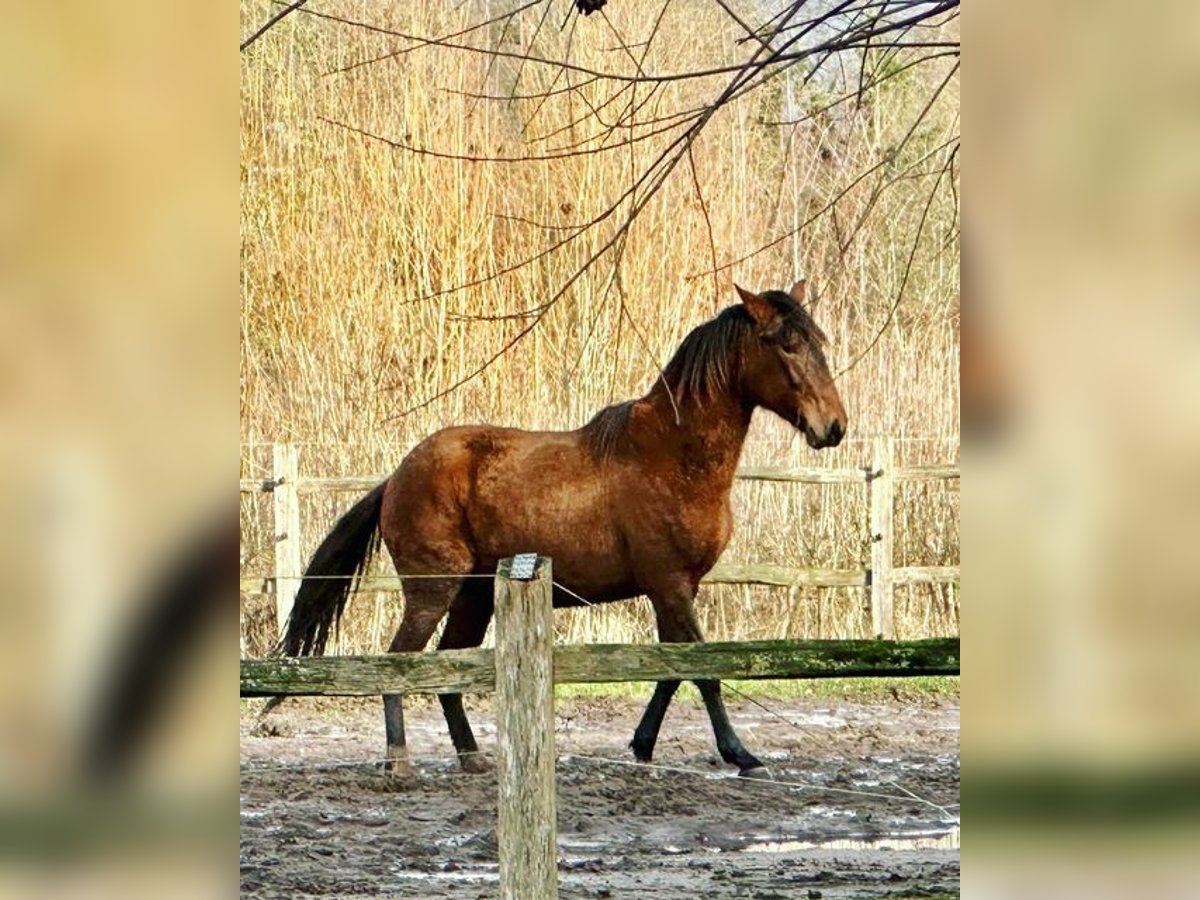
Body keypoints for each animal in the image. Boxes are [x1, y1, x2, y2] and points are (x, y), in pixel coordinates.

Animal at [279, 283, 844, 782]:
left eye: (818, 340)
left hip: (473, 598)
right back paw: (399, 762)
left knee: (449, 667)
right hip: (432, 591)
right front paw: (741, 754)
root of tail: (396, 477)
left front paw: (643, 746)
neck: (671, 456)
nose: (833, 427)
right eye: (787, 344)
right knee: (399, 663)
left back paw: (472, 757)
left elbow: (671, 670)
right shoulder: (671, 585)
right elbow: (702, 672)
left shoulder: (676, 589)